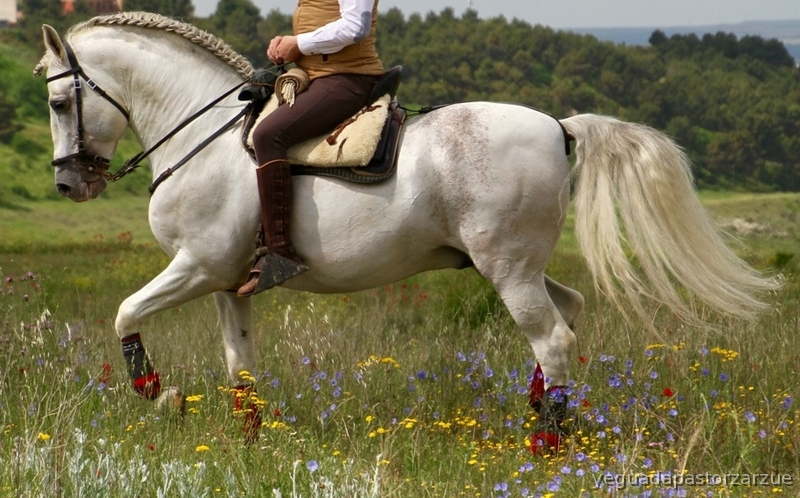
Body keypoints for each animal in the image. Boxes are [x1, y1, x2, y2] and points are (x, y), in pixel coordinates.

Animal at [35, 12, 776, 450]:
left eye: (60, 99)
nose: (70, 185)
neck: (203, 136)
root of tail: (558, 126)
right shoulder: (226, 283)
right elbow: (240, 367)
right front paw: (249, 442)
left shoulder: (196, 266)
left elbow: (125, 312)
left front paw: (156, 395)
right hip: (514, 266)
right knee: (568, 313)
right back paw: (539, 417)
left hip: (506, 269)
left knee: (554, 337)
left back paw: (545, 442)